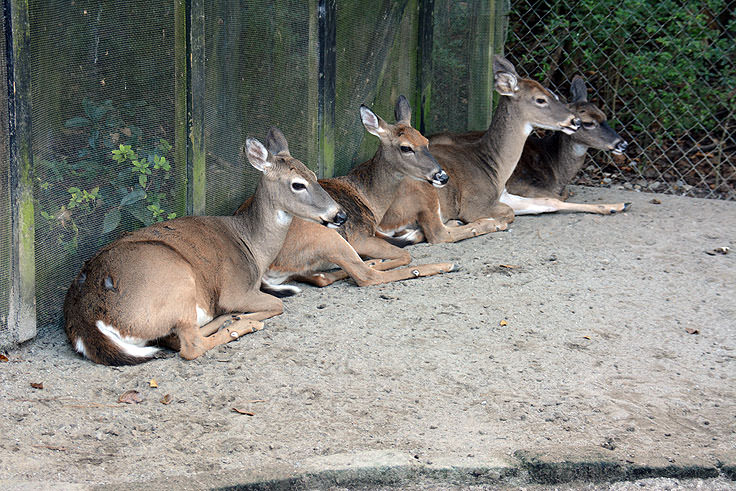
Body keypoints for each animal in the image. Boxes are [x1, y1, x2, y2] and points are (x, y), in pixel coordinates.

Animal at [64, 129, 348, 368]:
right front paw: (247, 315)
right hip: (177, 284)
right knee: (191, 346)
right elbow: (277, 305)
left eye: (314, 175)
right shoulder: (235, 290)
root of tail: (85, 320)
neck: (252, 246)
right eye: (297, 184)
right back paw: (241, 324)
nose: (340, 215)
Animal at [236, 96, 460, 296]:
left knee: (322, 277)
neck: (369, 198)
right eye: (405, 147)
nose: (442, 176)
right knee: (367, 275)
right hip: (327, 236)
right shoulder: (360, 237)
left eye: (426, 141)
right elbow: (404, 254)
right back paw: (446, 264)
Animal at [380, 55, 580, 246]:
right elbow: (510, 212)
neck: (495, 169)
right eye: (540, 99)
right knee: (436, 233)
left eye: (554, 94)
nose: (575, 120)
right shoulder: (474, 203)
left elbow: (546, 203)